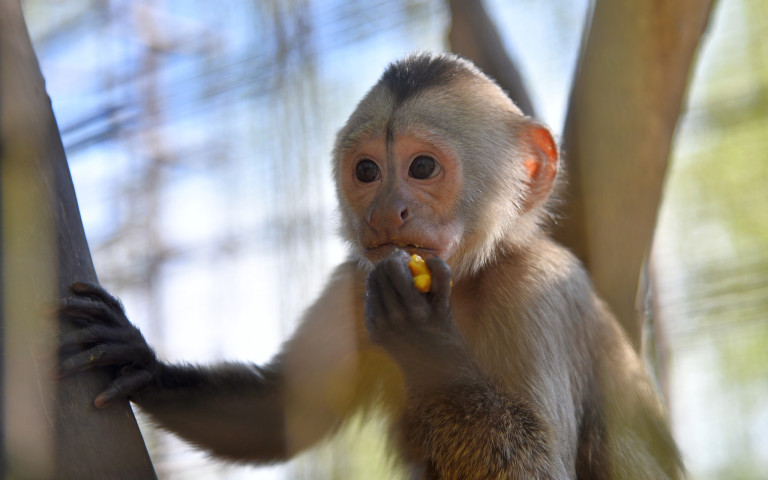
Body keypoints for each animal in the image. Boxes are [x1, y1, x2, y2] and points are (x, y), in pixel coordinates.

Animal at [61, 50, 684, 478]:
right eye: (367, 172)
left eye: (423, 167)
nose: (386, 211)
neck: (466, 283)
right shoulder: (353, 282)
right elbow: (276, 415)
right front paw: (139, 362)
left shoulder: (537, 289)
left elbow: (540, 471)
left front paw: (425, 340)